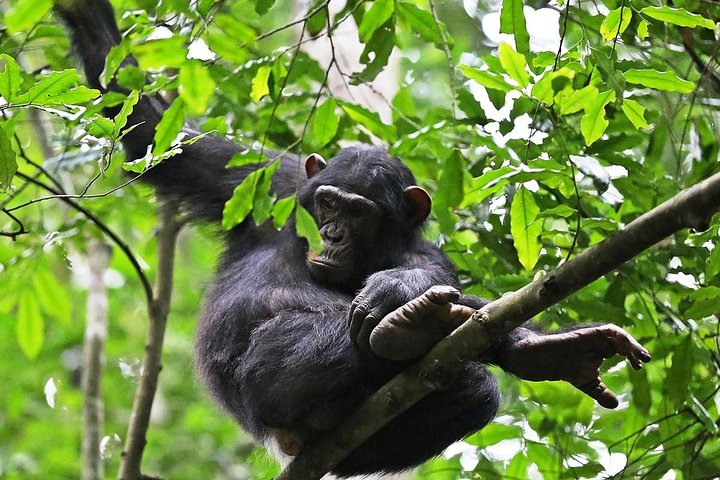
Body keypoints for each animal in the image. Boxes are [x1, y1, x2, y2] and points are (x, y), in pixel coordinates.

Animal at [56, 1, 652, 476]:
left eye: (359, 213)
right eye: (327, 203)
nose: (333, 233)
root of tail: (287, 440)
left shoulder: (425, 251)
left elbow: (432, 276)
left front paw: (400, 291)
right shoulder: (265, 181)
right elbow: (155, 137)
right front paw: (82, 11)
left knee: (474, 389)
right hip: (261, 387)